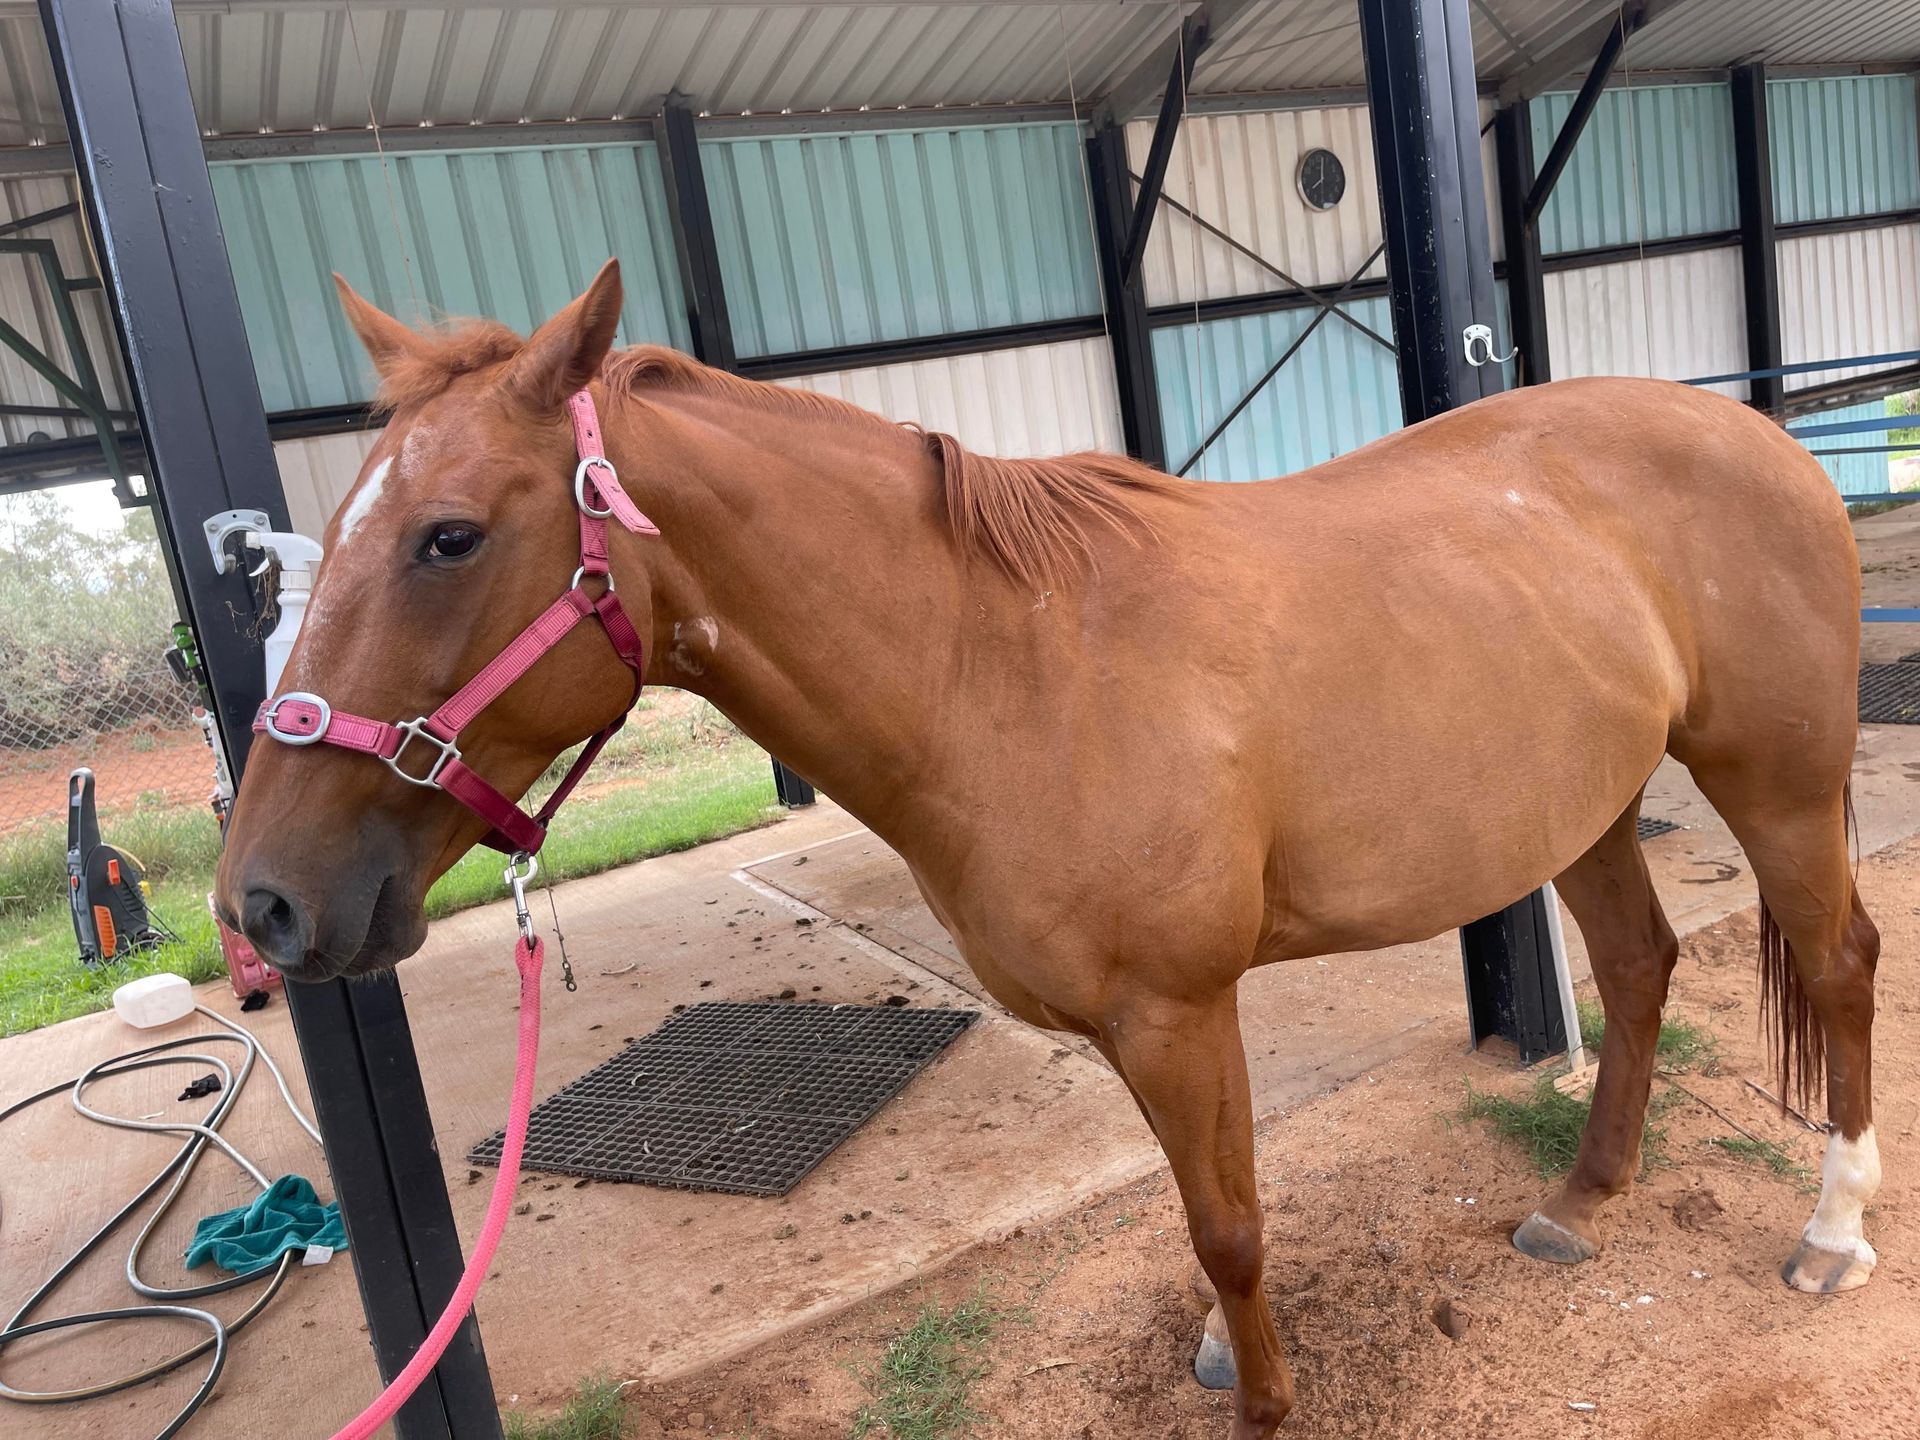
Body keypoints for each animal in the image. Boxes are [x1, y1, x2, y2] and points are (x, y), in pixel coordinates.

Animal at [216, 260, 1881, 1438]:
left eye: (447, 537)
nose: (265, 906)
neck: (1005, 669)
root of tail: (1756, 431)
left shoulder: (1175, 1009)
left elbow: (1228, 1225)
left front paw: (1265, 1402)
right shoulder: (1160, 1024)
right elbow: (1216, 1211)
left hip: (1778, 781)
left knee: (1844, 963)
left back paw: (1833, 1234)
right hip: (1581, 804)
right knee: (1639, 964)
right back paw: (1584, 1198)